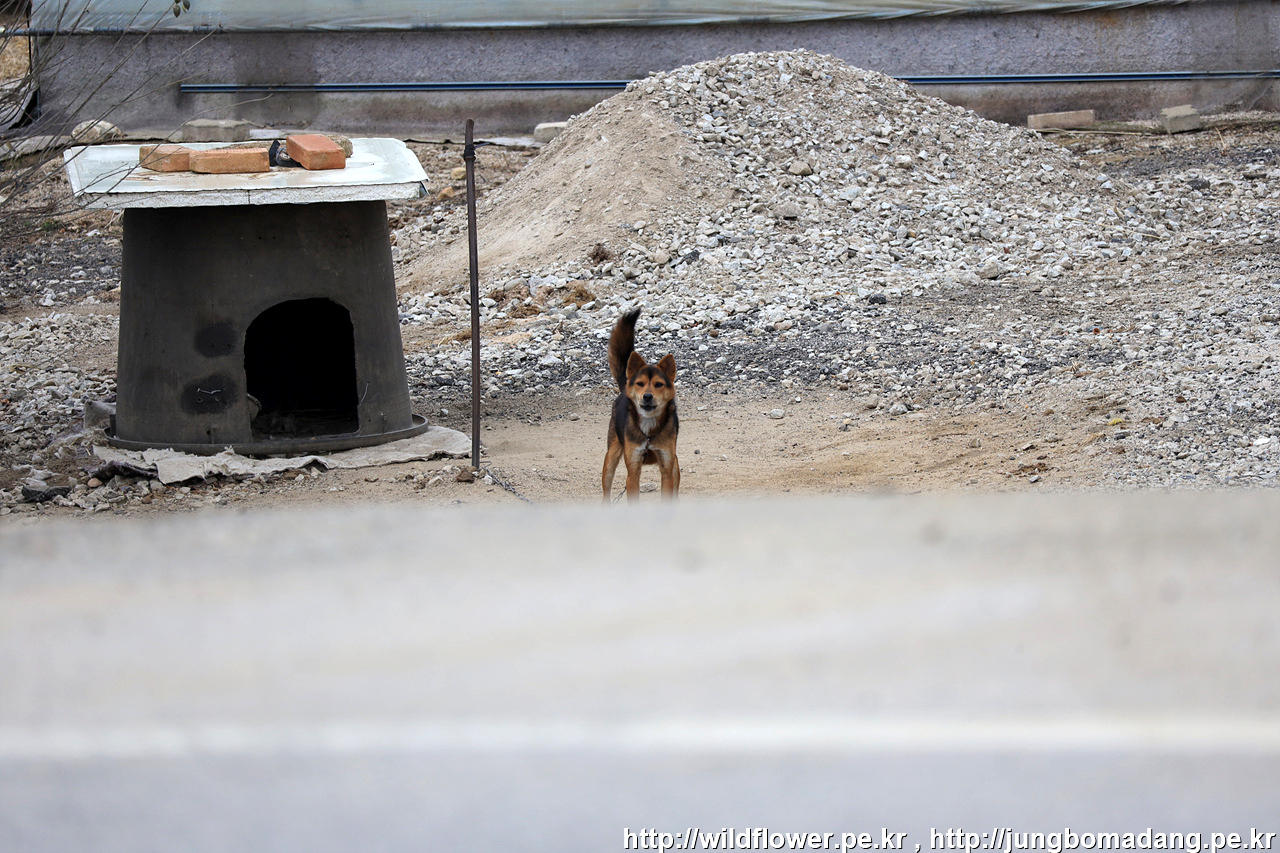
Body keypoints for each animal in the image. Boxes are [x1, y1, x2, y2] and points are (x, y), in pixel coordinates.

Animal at [602, 307, 680, 502]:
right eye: (640, 383)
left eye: (658, 384)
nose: (647, 396)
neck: (649, 431)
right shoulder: (633, 470)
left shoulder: (667, 468)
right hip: (610, 459)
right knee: (606, 490)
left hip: (675, 465)